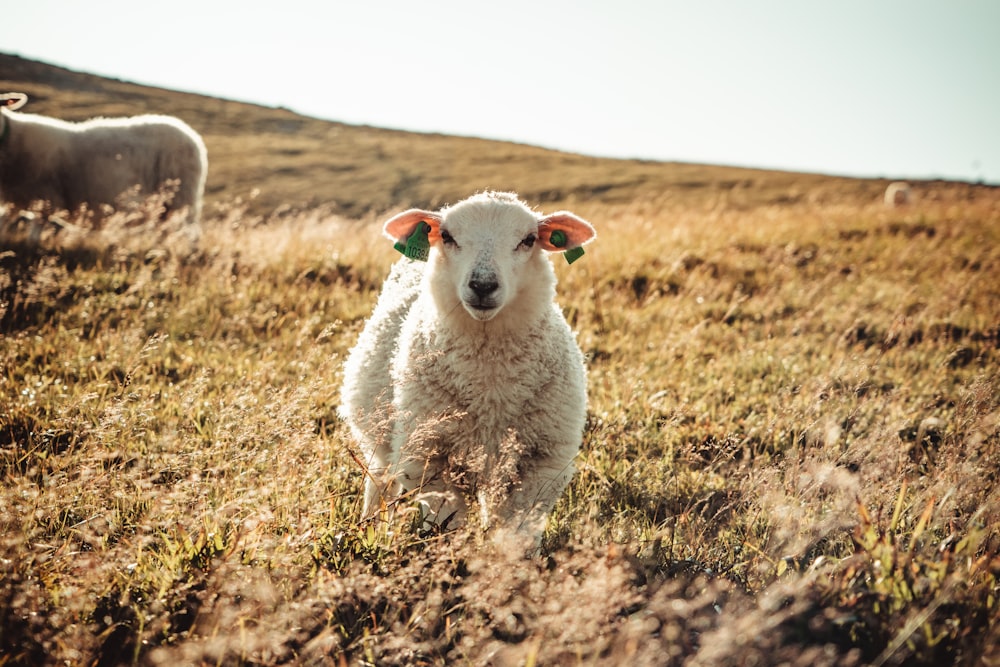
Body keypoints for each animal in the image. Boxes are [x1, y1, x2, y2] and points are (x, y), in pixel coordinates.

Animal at [0, 92, 207, 235]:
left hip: (181, 196)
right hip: (164, 204)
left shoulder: (46, 197)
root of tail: (192, 135)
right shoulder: (17, 200)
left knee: (188, 233)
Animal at [340, 189, 596, 548]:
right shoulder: (430, 460)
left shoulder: (542, 465)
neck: (490, 386)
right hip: (379, 436)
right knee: (379, 482)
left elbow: (517, 535)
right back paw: (372, 529)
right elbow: (445, 527)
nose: (483, 285)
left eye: (529, 240)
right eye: (447, 236)